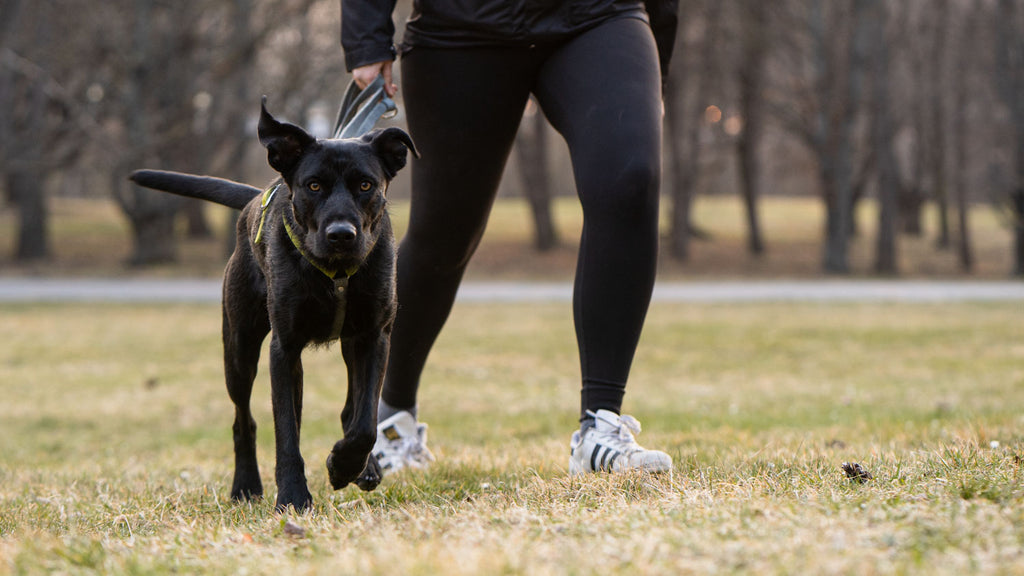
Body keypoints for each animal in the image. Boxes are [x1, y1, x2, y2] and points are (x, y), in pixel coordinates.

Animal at [130, 97, 413, 506]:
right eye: (313, 185)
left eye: (365, 184)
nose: (341, 235)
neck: (335, 274)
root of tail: (251, 200)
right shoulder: (284, 348)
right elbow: (286, 432)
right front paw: (293, 496)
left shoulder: (374, 337)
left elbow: (365, 422)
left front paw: (345, 465)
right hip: (240, 346)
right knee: (243, 419)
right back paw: (246, 485)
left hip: (343, 345)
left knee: (351, 409)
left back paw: (363, 466)